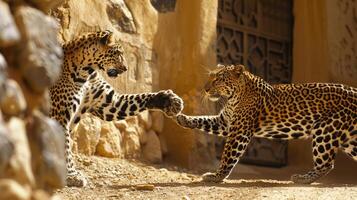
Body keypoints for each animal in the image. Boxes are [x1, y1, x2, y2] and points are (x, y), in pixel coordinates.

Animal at [49, 30, 184, 187]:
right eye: (118, 53)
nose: (126, 69)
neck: (86, 72)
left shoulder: (109, 103)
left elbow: (138, 98)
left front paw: (168, 99)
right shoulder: (59, 117)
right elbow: (64, 148)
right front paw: (71, 175)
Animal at [175, 64, 356, 184]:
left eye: (218, 79)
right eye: (210, 77)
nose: (205, 89)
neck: (234, 97)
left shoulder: (239, 131)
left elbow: (228, 155)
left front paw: (217, 176)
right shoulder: (225, 122)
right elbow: (203, 119)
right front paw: (182, 117)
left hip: (325, 129)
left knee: (326, 164)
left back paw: (302, 179)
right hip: (350, 140)